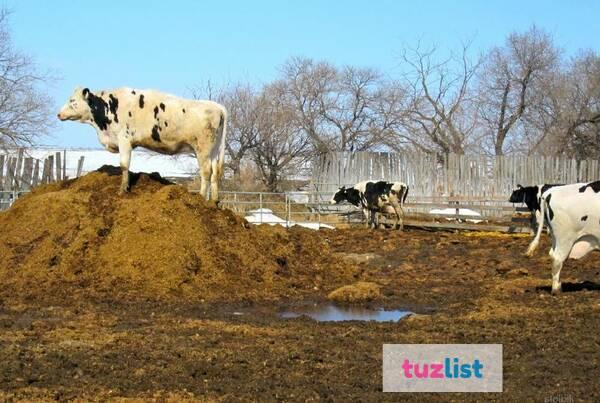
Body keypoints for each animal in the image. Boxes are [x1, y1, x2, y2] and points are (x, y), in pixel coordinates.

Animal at [58, 89, 227, 202]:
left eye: (72, 101)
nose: (58, 114)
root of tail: (218, 107)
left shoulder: (124, 139)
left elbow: (124, 165)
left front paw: (122, 190)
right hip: (213, 150)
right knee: (214, 172)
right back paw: (214, 201)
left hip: (202, 149)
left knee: (206, 172)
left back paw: (201, 197)